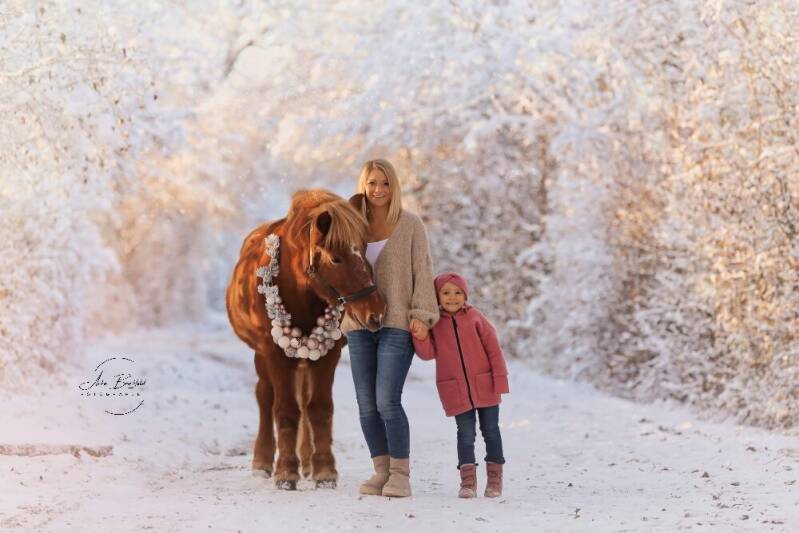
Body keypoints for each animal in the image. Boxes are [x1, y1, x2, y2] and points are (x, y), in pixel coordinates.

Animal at [226, 189, 386, 490]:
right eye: (336, 258)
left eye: (364, 249)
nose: (376, 312)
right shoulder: (275, 355)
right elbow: (285, 409)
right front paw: (286, 472)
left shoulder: (328, 354)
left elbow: (319, 408)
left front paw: (324, 470)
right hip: (263, 356)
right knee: (265, 396)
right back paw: (263, 461)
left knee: (304, 401)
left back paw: (308, 461)